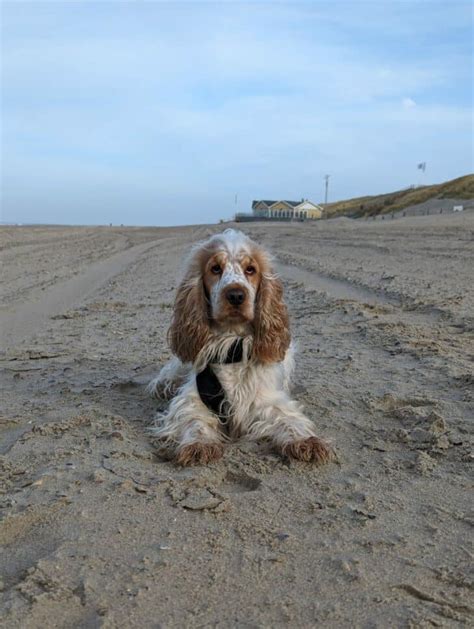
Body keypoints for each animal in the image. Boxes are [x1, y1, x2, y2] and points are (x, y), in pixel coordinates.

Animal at [148, 228, 334, 464]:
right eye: (215, 268)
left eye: (250, 269)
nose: (236, 295)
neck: (232, 346)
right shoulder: (193, 398)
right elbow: (194, 420)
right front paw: (200, 444)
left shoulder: (266, 399)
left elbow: (288, 419)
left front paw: (306, 441)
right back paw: (163, 384)